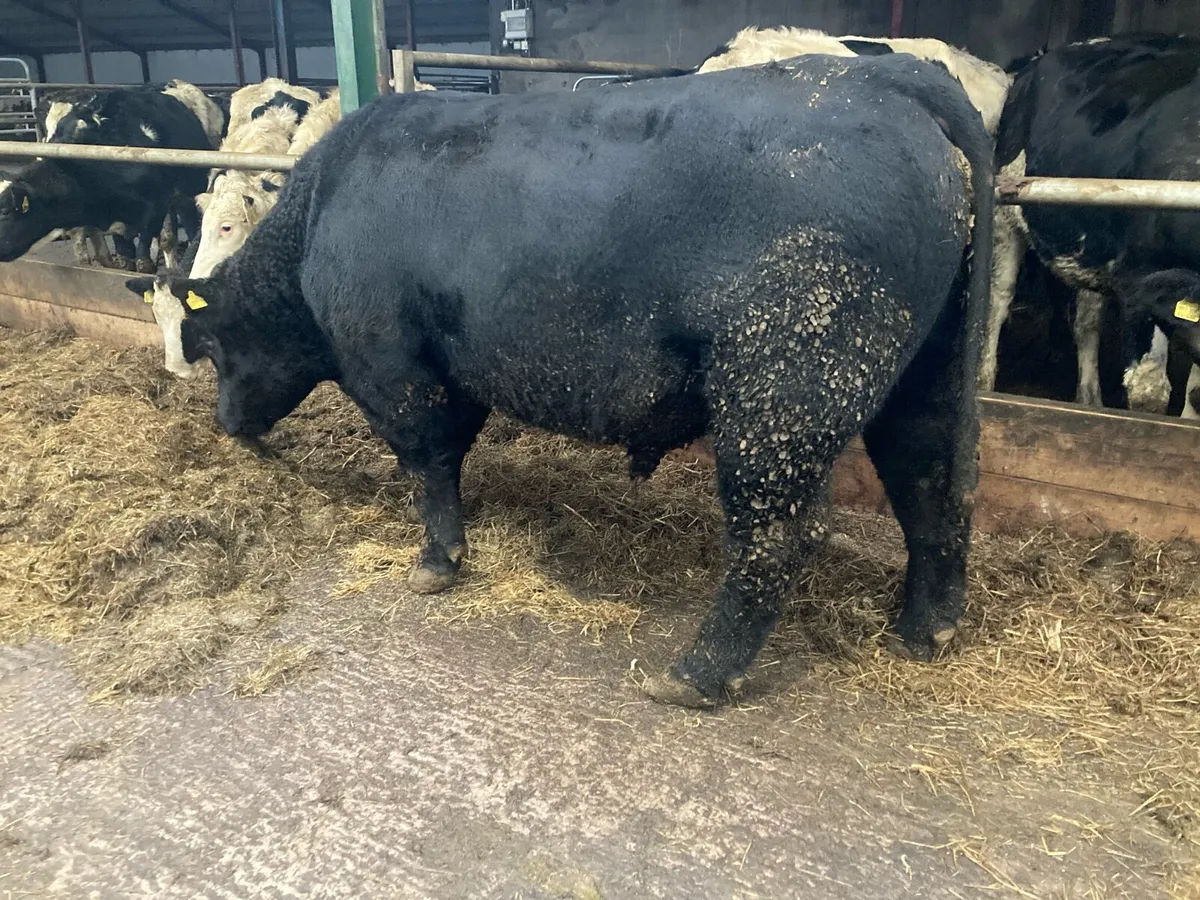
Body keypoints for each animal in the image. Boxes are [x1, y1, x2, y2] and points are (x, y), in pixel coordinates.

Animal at [126, 54, 993, 708]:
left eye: (213, 346)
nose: (226, 423)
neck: (321, 214)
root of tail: (887, 79)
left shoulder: (393, 364)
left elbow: (425, 459)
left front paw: (437, 561)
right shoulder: (455, 369)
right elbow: (450, 451)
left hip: (782, 394)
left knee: (779, 531)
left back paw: (696, 674)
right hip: (924, 374)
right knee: (933, 483)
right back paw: (925, 631)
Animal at [996, 34, 1200, 418]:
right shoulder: (1139, 281)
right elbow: (1149, 391)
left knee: (1087, 322)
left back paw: (1090, 397)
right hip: (1006, 213)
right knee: (998, 303)